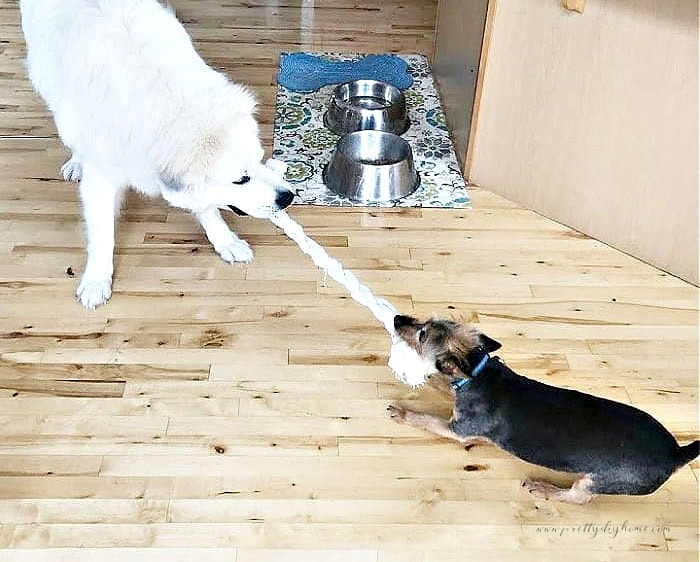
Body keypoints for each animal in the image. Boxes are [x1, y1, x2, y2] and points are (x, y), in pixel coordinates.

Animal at [19, 0, 292, 306]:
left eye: (259, 161)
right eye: (241, 179)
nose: (288, 198)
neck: (170, 106)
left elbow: (206, 207)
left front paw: (226, 241)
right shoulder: (102, 178)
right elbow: (102, 233)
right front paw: (96, 280)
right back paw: (77, 161)